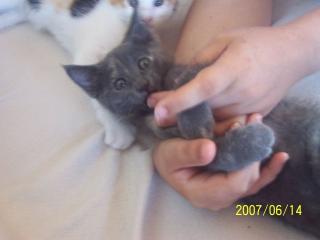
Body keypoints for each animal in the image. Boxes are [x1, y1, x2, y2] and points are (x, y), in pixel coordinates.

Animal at [0, 0, 179, 149]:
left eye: (158, 3)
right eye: (133, 3)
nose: (147, 18)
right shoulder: (88, 53)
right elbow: (95, 90)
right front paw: (118, 129)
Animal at [65, 11, 320, 238]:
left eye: (143, 63)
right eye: (119, 84)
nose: (143, 85)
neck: (152, 109)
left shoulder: (201, 71)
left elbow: (187, 78)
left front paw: (194, 115)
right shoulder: (171, 139)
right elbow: (214, 155)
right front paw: (254, 141)